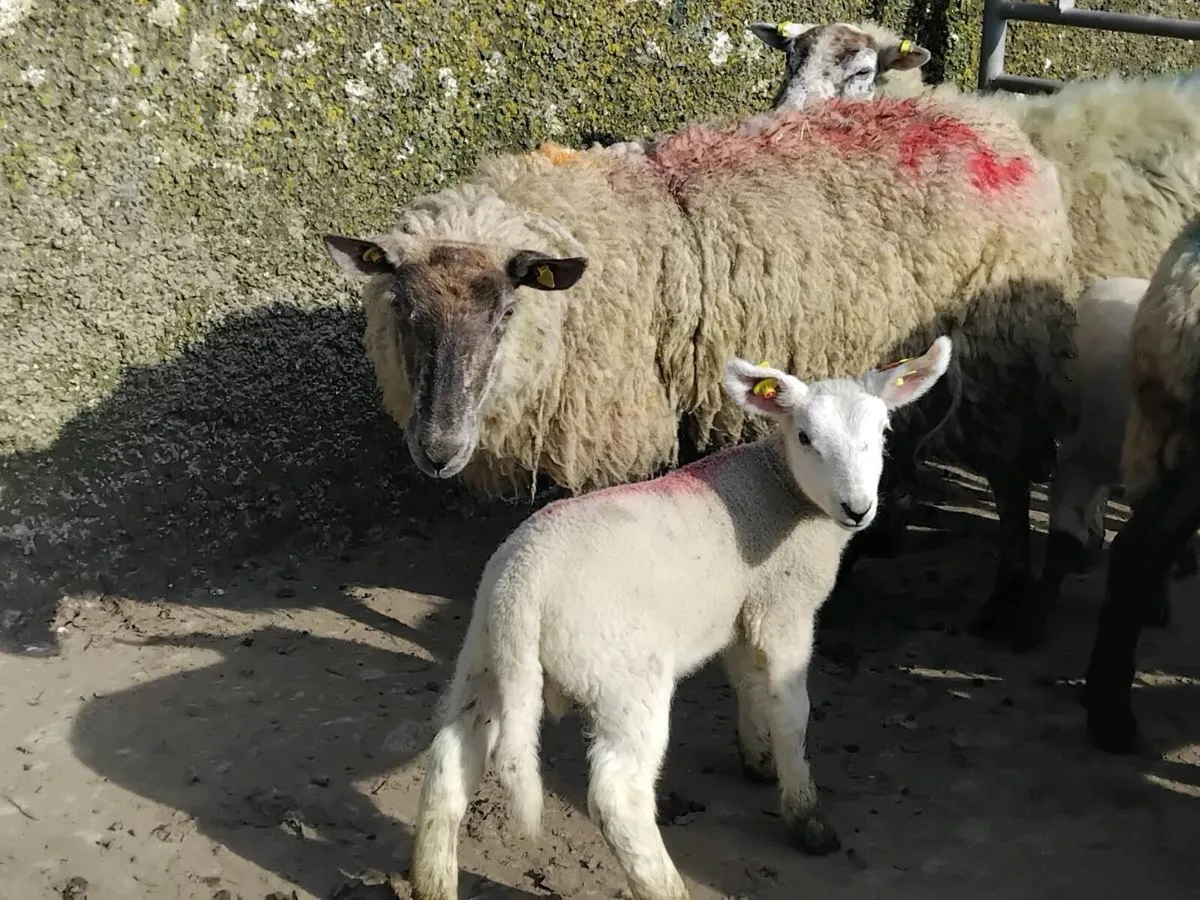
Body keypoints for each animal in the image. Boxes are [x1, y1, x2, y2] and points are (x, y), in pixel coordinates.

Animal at [323, 93, 1077, 642]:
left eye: (507, 312)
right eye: (401, 307)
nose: (438, 448)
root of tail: (993, 123)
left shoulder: (623, 417)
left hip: (1001, 349)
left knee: (1010, 471)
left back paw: (1008, 600)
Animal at [408, 338, 954, 900]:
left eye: (883, 433)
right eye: (805, 437)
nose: (858, 509)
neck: (780, 488)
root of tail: (523, 583)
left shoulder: (743, 609)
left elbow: (748, 683)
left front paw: (758, 759)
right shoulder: (784, 606)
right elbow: (791, 709)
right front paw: (806, 816)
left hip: (487, 660)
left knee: (449, 759)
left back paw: (433, 882)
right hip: (622, 675)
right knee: (618, 796)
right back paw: (665, 885)